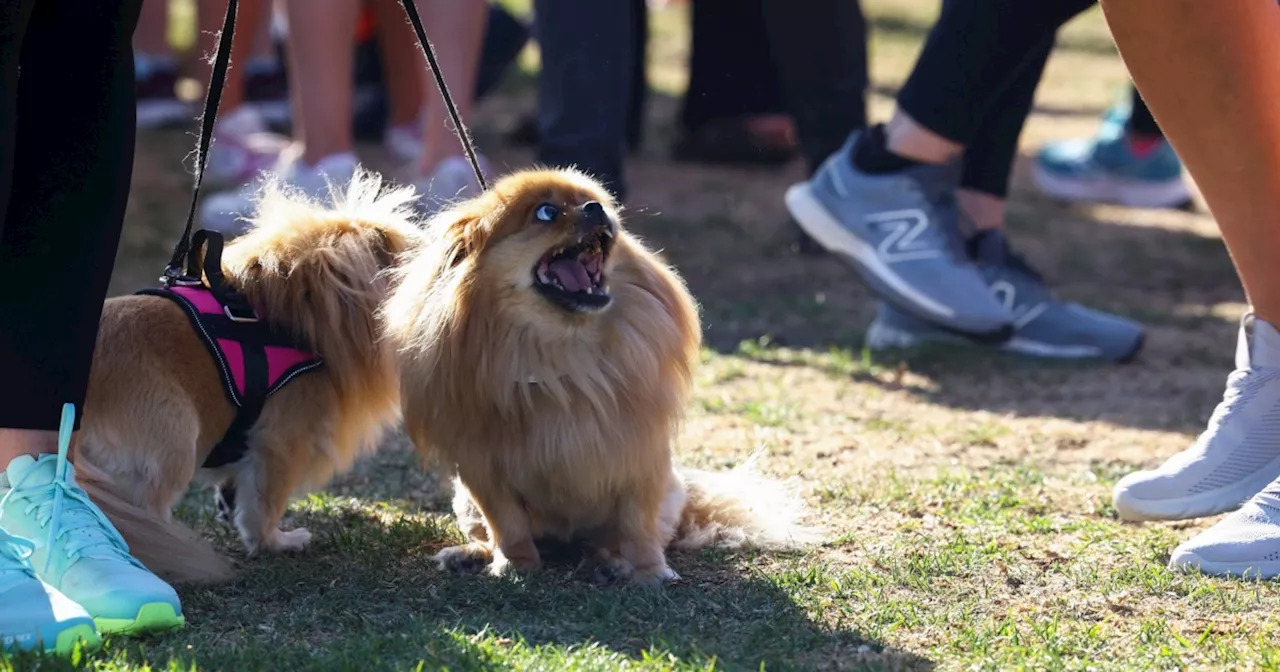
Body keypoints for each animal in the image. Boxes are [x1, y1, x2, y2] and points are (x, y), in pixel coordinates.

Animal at [381, 168, 819, 586]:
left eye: (601, 203)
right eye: (546, 212)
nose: (596, 209)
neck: (561, 352)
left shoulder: (639, 459)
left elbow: (638, 527)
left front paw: (649, 572)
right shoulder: (484, 470)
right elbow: (507, 526)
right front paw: (515, 566)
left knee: (617, 539)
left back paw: (610, 564)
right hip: (465, 503)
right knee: (489, 534)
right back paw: (471, 555)